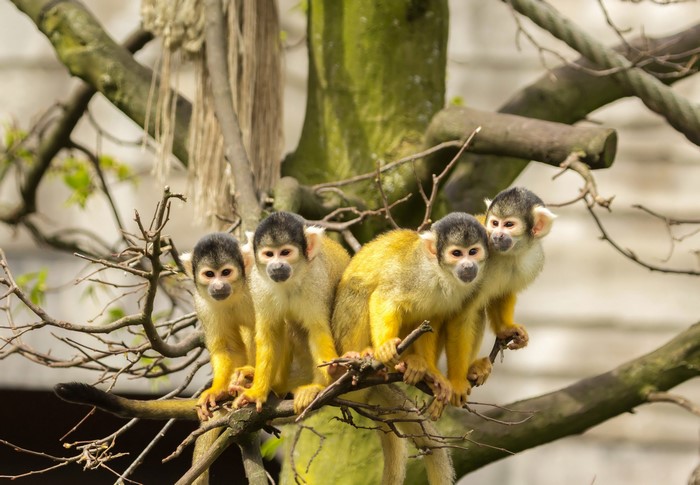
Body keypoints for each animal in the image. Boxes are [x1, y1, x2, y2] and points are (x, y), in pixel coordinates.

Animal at [180, 232, 256, 420]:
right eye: (209, 274)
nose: (219, 286)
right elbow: (227, 347)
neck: (238, 291)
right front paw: (218, 391)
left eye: (226, 272)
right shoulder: (203, 304)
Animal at [233, 211, 351, 414]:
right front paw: (256, 393)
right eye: (269, 254)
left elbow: (317, 330)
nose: (277, 266)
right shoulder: (258, 283)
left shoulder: (315, 279)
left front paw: (326, 380)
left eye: (285, 253)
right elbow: (270, 334)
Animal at [330, 212, 489, 485]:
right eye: (456, 253)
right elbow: (385, 297)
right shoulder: (414, 275)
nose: (468, 266)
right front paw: (385, 348)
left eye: (473, 251)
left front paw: (434, 374)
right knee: (360, 288)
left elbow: (433, 320)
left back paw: (417, 368)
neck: (441, 275)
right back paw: (364, 360)